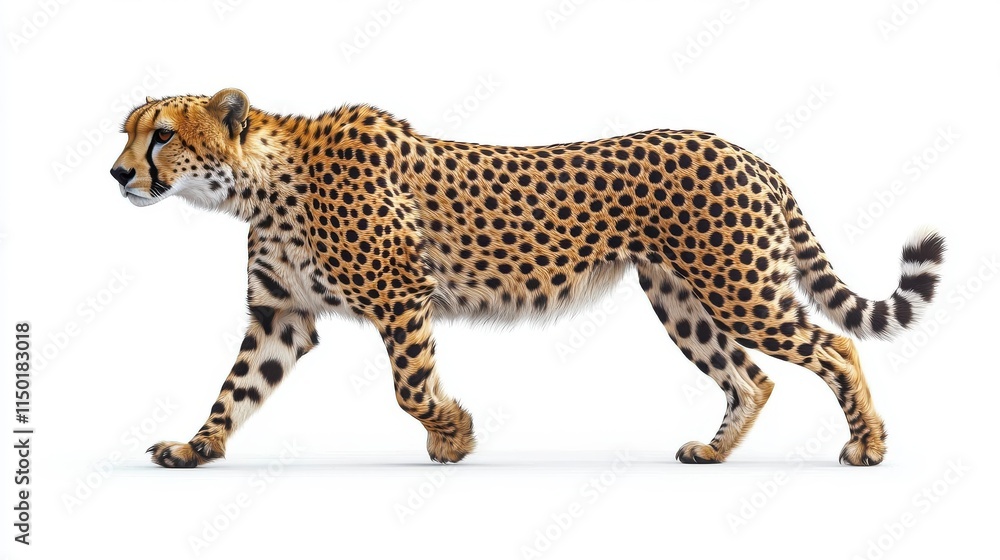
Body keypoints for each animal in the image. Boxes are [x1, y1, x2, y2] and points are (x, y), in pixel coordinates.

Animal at [111, 88, 944, 468]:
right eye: (126, 133)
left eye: (162, 136)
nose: (118, 174)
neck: (259, 181)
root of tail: (745, 150)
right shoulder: (281, 316)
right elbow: (234, 391)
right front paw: (194, 448)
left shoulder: (403, 296)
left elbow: (411, 387)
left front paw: (453, 435)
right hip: (680, 297)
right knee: (752, 376)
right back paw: (713, 452)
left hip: (739, 288)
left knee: (836, 347)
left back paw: (869, 444)